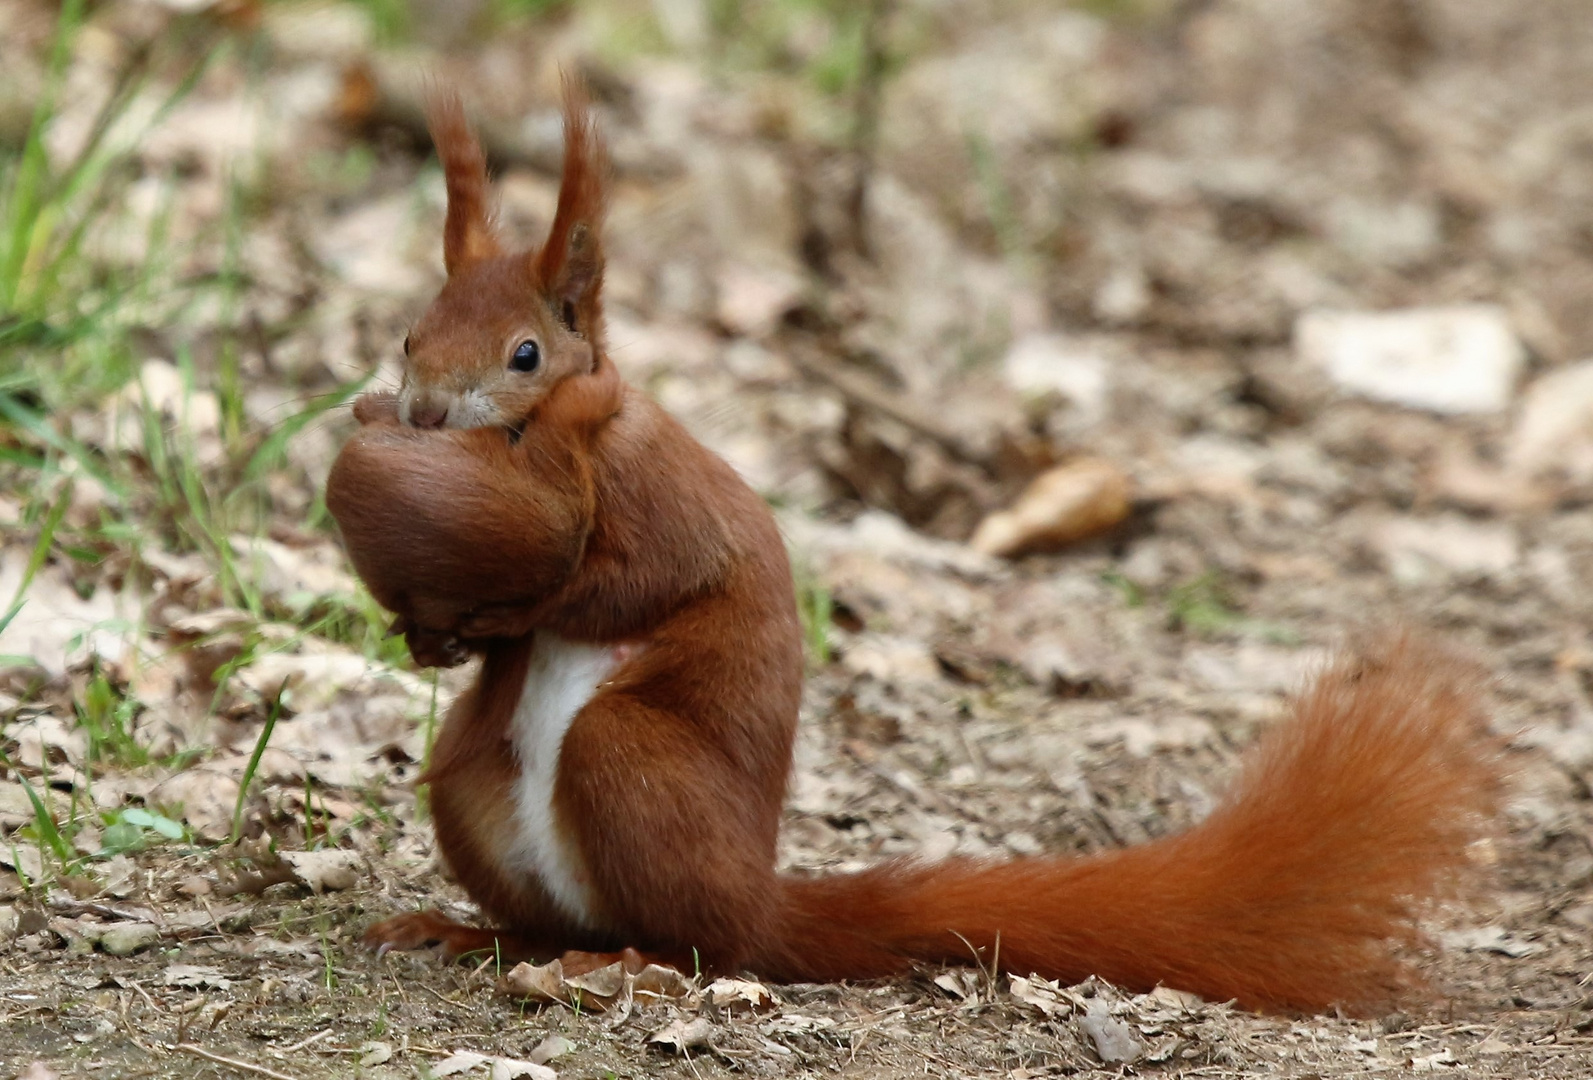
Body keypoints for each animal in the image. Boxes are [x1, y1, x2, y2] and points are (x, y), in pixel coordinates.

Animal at [326, 82, 1503, 1013]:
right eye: (410, 334)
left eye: (525, 354)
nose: (420, 413)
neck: (574, 437)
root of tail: (761, 901)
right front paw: (426, 636)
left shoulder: (662, 503)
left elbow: (626, 585)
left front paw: (504, 610)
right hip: (466, 778)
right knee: (548, 907)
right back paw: (474, 932)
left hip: (633, 769)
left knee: (695, 945)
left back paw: (622, 962)